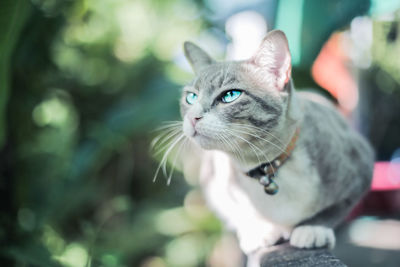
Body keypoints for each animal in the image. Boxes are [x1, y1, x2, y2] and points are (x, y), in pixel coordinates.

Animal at [154, 29, 376, 266]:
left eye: (230, 95)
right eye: (191, 97)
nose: (193, 117)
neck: (265, 166)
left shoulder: (361, 167)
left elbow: (337, 207)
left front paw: (314, 228)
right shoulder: (214, 186)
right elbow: (239, 214)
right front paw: (259, 230)